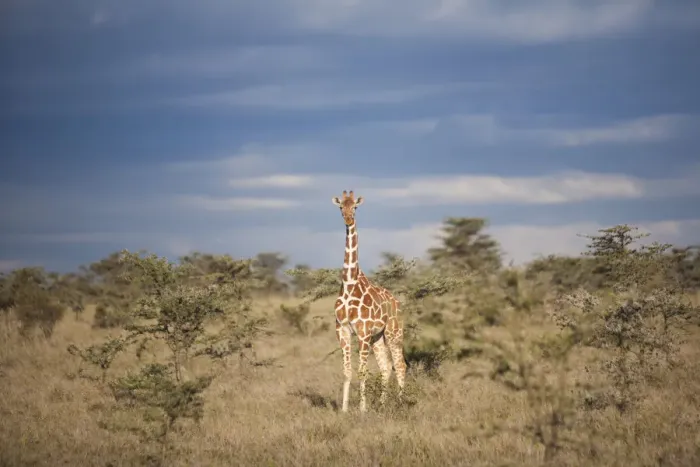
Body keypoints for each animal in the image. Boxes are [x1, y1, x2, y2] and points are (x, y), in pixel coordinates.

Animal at [332, 190, 407, 413]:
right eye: (341, 207)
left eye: (355, 207)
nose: (348, 219)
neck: (349, 283)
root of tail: (397, 303)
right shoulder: (342, 330)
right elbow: (347, 371)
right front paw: (344, 409)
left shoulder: (363, 333)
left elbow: (362, 371)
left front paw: (362, 410)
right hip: (378, 337)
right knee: (386, 367)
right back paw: (382, 405)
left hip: (393, 333)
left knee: (400, 365)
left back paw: (400, 403)